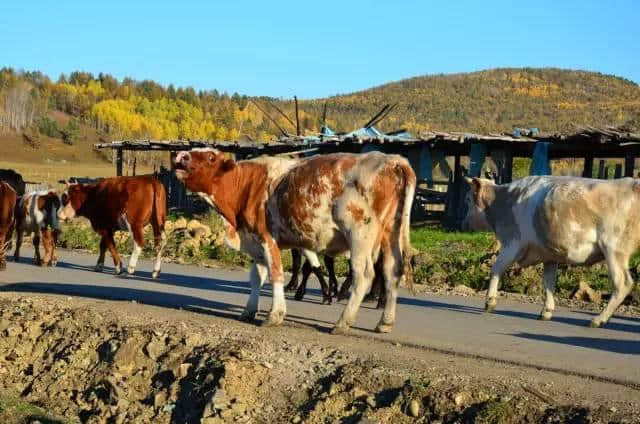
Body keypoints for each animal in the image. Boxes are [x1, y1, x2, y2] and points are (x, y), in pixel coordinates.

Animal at [172, 149, 418, 334]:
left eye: (210, 157)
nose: (180, 155)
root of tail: (392, 159)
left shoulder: (267, 238)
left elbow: (276, 274)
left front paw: (275, 315)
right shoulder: (254, 241)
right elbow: (257, 278)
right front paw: (249, 310)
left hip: (360, 235)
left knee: (364, 274)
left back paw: (343, 322)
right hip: (391, 232)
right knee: (392, 271)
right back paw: (385, 322)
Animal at [464, 176, 640, 328]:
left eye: (468, 199)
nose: (465, 222)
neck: (503, 201)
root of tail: (632, 183)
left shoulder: (512, 244)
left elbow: (496, 269)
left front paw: (490, 302)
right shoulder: (550, 254)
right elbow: (548, 281)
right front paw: (546, 311)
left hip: (613, 249)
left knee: (622, 283)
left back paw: (599, 319)